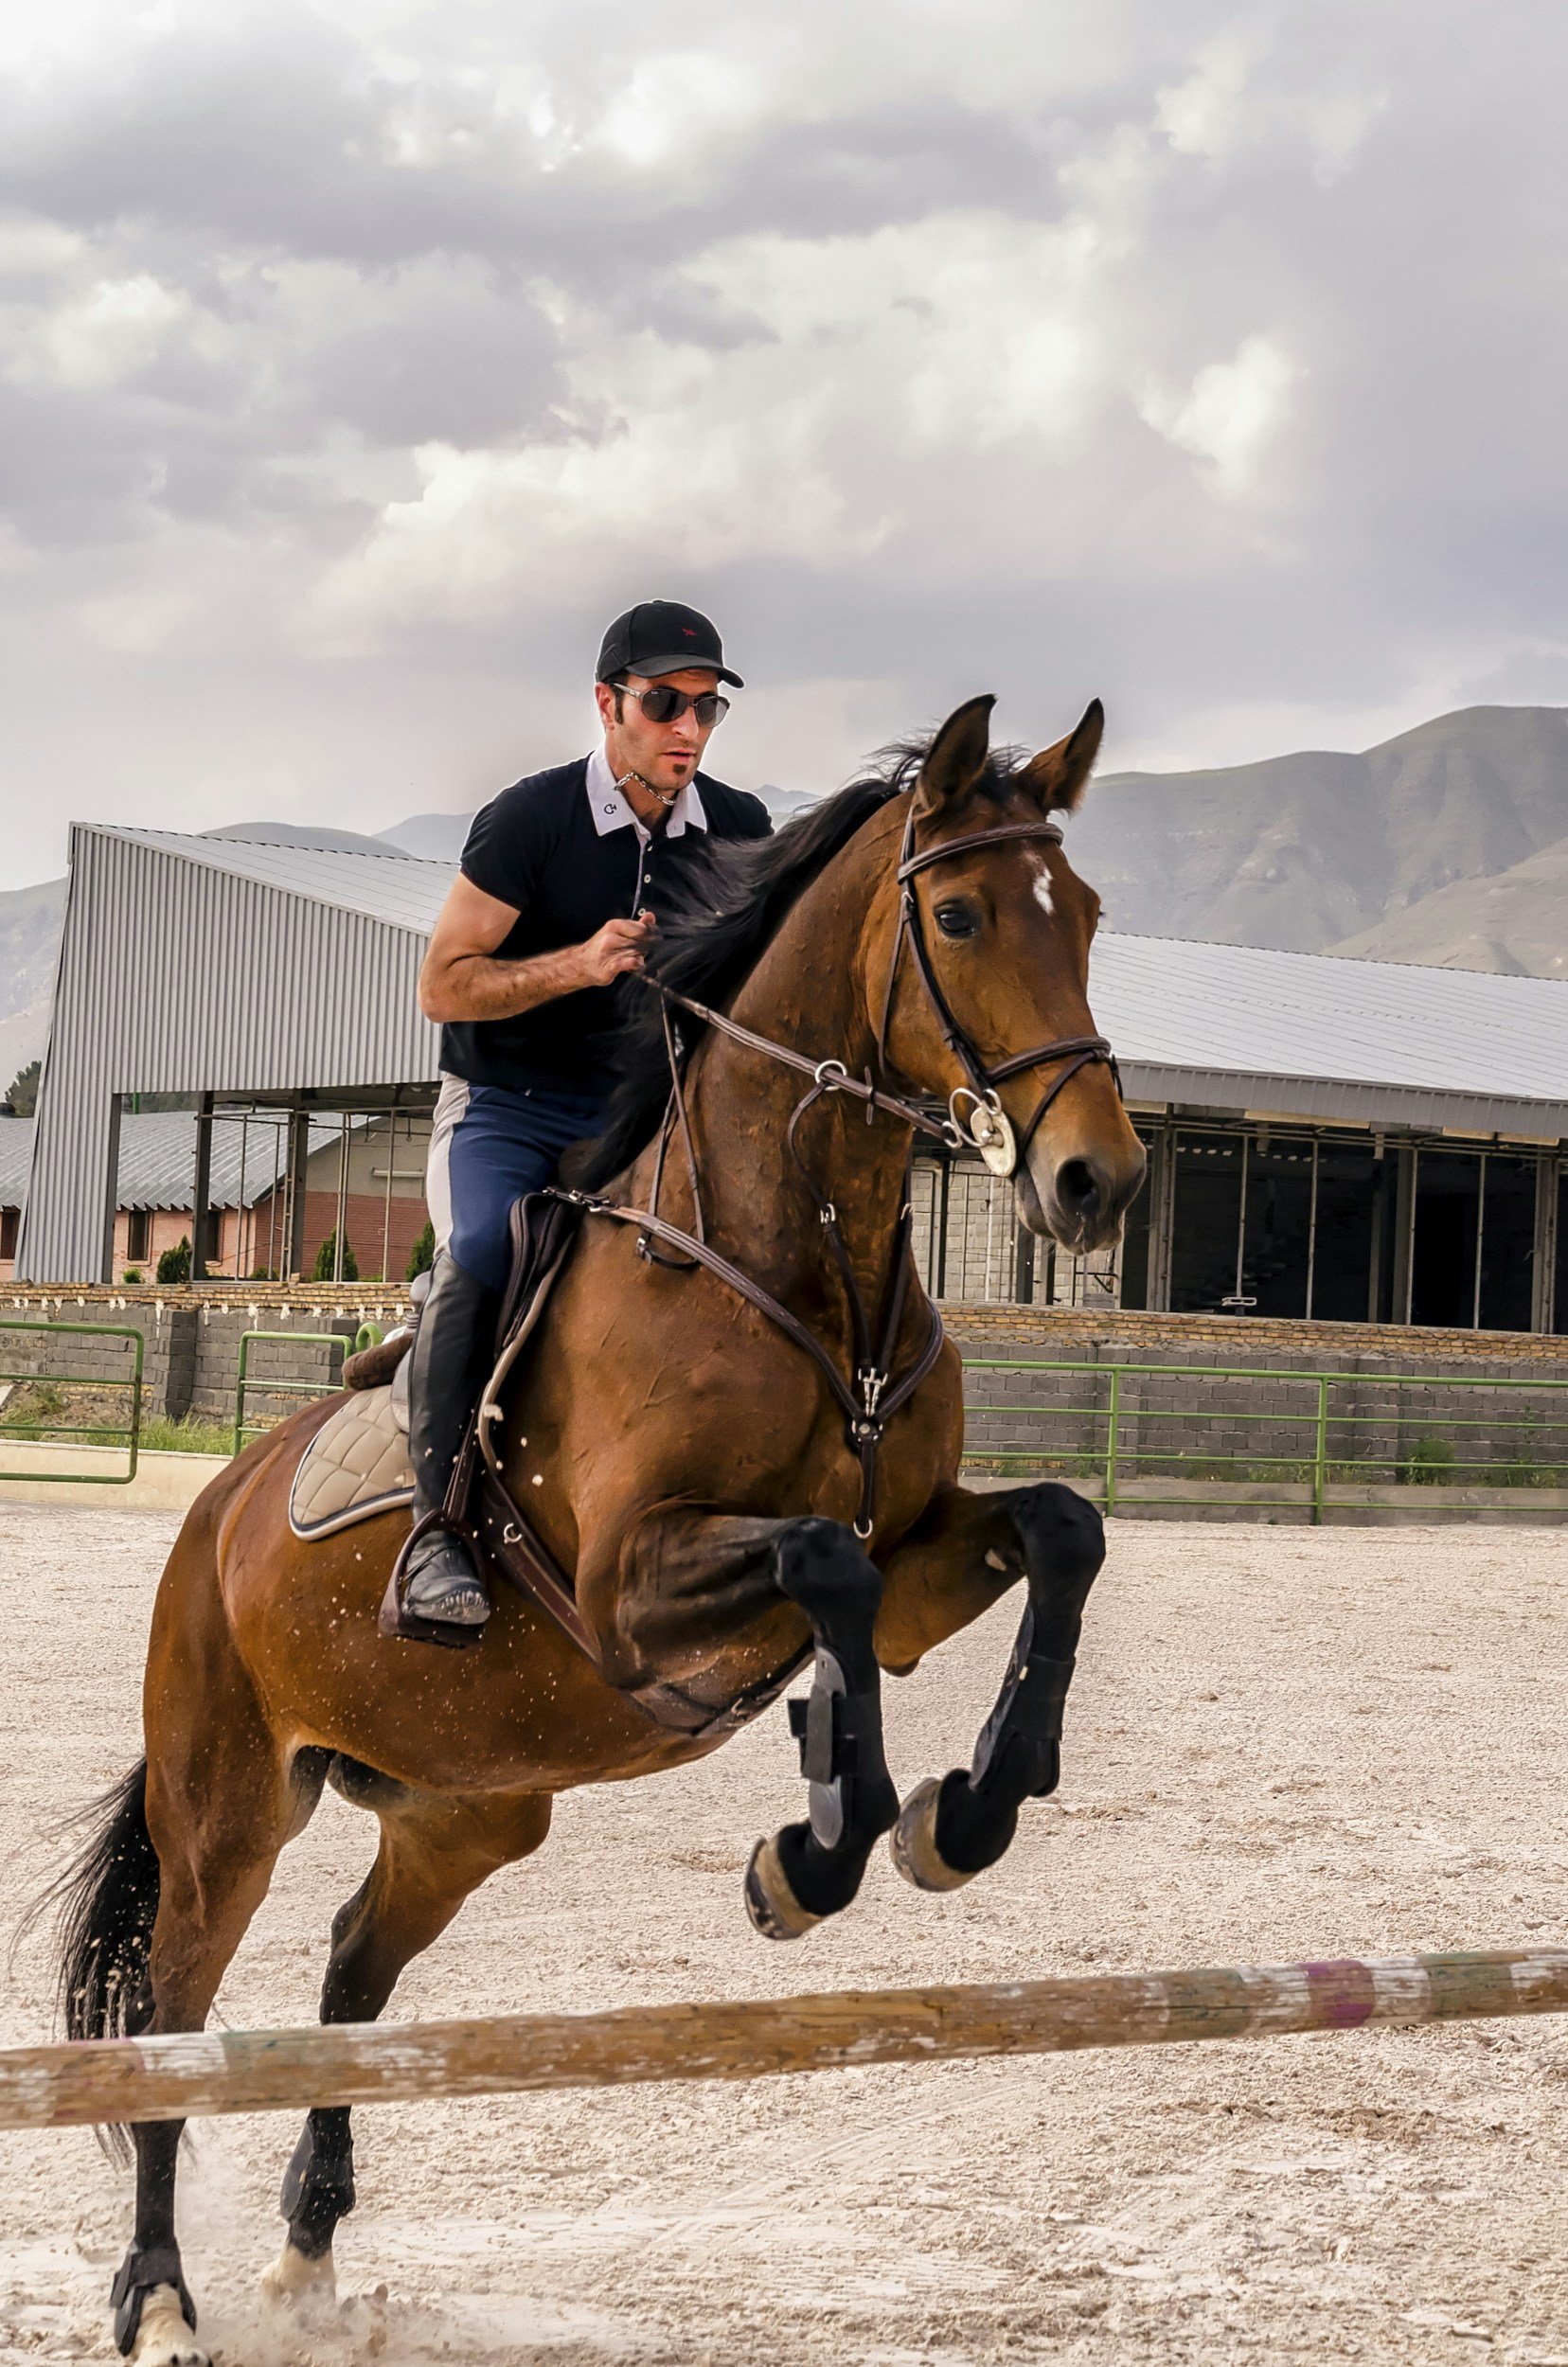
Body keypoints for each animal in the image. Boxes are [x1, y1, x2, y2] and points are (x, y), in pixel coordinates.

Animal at [50, 693, 1146, 2366]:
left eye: (1082, 913)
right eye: (959, 915)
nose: (1099, 1183)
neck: (805, 1260)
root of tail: (218, 1513)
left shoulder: (915, 1566)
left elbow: (1060, 1535)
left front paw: (962, 1816)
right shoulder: (641, 1589)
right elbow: (821, 1568)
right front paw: (812, 1855)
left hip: (469, 1809)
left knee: (350, 1966)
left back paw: (306, 2256)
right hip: (224, 1806)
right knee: (174, 2016)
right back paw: (161, 2296)